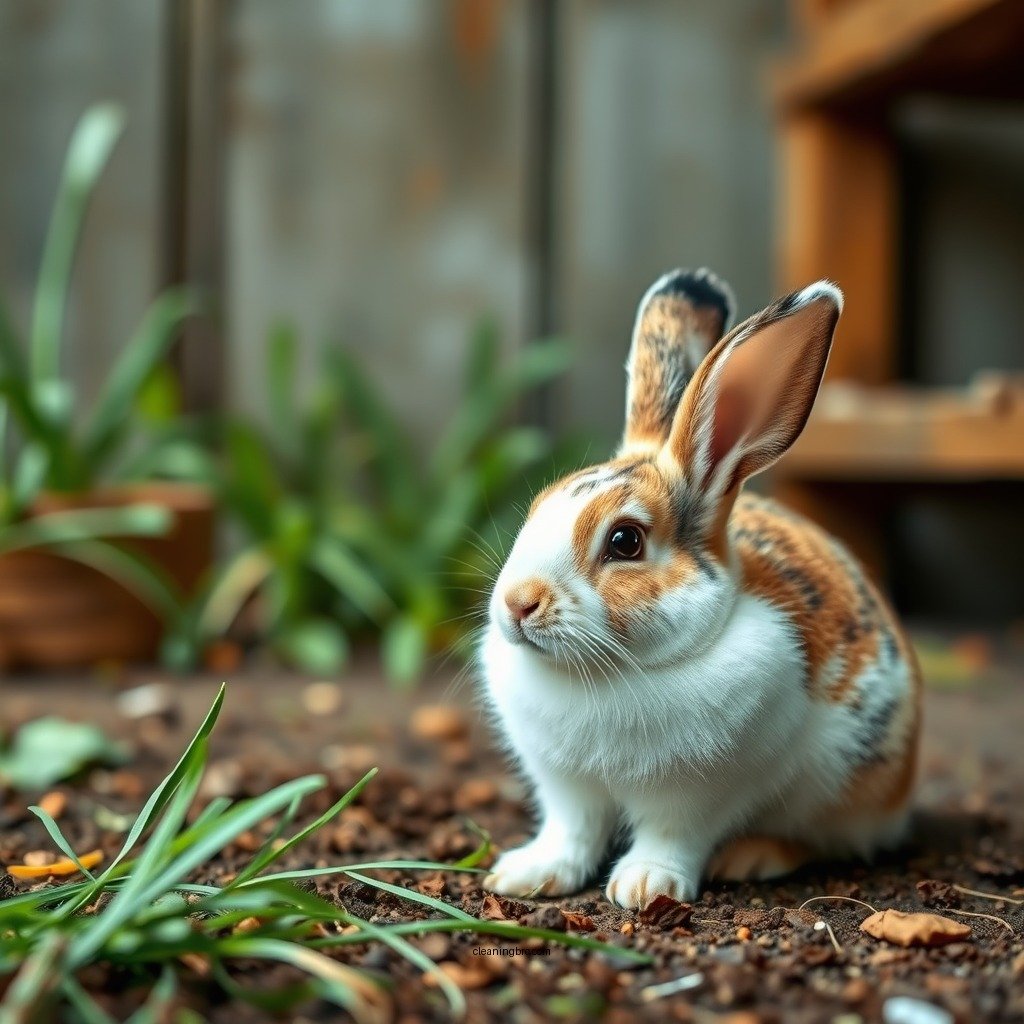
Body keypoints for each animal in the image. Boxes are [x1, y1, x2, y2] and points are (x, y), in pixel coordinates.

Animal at [480, 268, 921, 910]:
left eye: (625, 541)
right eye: (537, 507)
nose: (517, 603)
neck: (609, 674)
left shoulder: (701, 796)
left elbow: (673, 835)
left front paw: (644, 886)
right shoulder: (567, 788)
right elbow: (572, 831)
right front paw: (527, 874)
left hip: (847, 795)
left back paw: (752, 856)